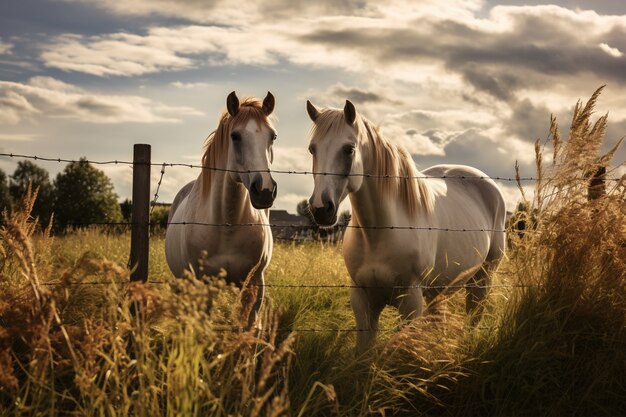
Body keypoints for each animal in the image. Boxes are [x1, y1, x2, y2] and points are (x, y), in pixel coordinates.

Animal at [165, 91, 276, 324]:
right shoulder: (203, 285)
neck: (227, 225)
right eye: (235, 136)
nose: (264, 190)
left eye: (273, 136)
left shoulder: (254, 283)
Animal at [304, 100, 504, 352]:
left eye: (348, 149)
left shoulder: (411, 301)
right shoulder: (362, 300)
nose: (321, 208)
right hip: (440, 290)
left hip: (482, 280)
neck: (377, 235)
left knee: (474, 318)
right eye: (312, 149)